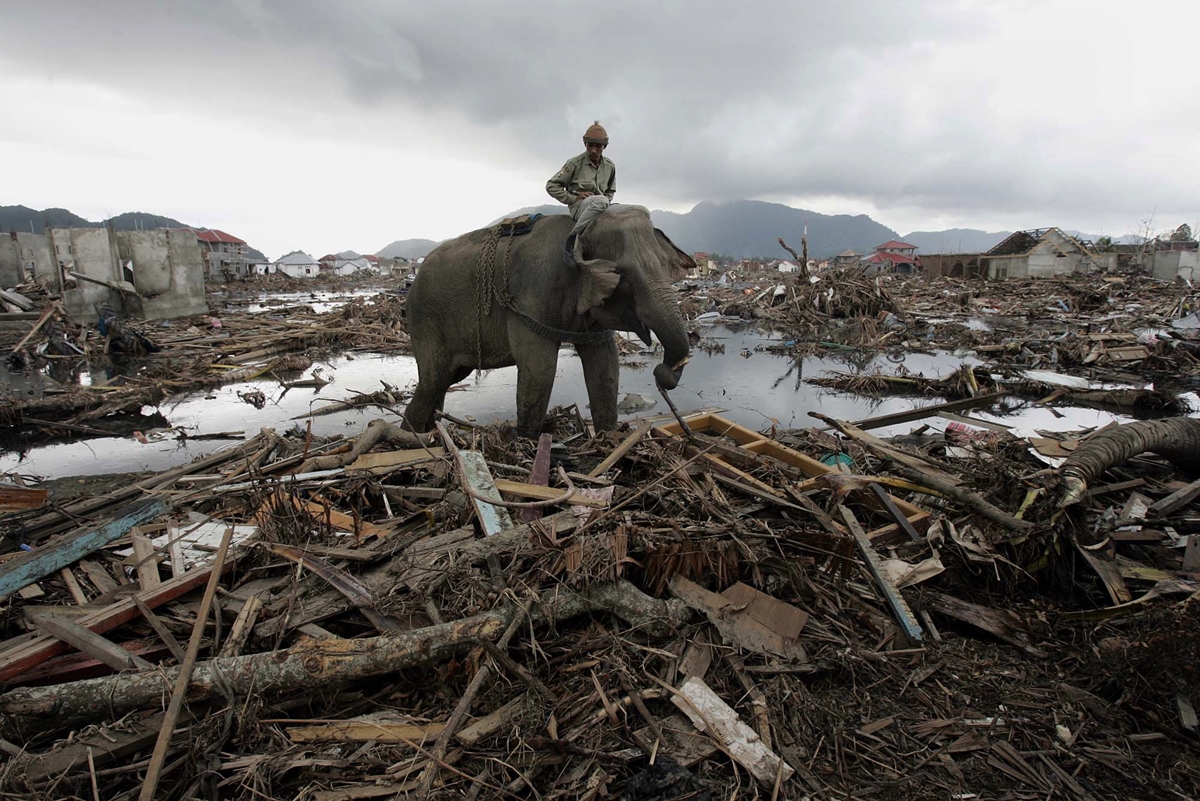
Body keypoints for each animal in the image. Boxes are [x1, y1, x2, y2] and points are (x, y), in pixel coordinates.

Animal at [405, 206, 696, 431]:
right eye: (623, 276)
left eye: (666, 266)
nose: (661, 373)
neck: (577, 232)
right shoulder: (530, 294)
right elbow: (540, 370)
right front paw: (527, 443)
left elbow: (606, 367)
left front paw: (609, 440)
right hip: (426, 320)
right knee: (433, 380)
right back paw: (414, 437)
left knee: (446, 379)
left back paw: (430, 432)